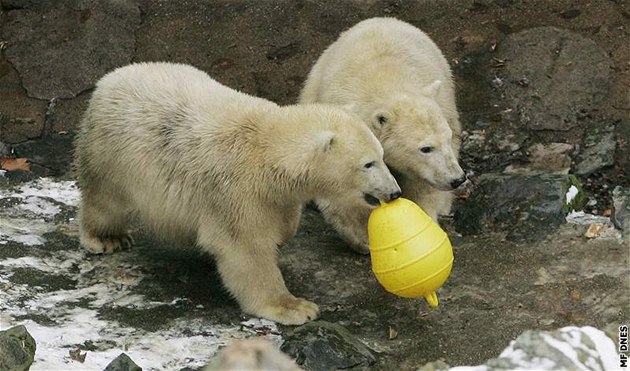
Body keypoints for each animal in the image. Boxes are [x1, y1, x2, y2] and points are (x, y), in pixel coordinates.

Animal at [74, 61, 400, 326]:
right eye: (368, 163)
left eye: (383, 156)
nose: (395, 192)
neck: (267, 148)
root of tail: (109, 79)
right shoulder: (235, 190)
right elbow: (246, 249)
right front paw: (295, 307)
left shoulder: (273, 194)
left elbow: (282, 220)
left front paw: (283, 234)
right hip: (114, 154)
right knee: (106, 201)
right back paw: (107, 238)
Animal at [298, 18, 466, 256]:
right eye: (425, 148)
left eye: (447, 138)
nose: (457, 179)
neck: (385, 82)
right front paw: (364, 238)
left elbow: (421, 186)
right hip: (313, 86)